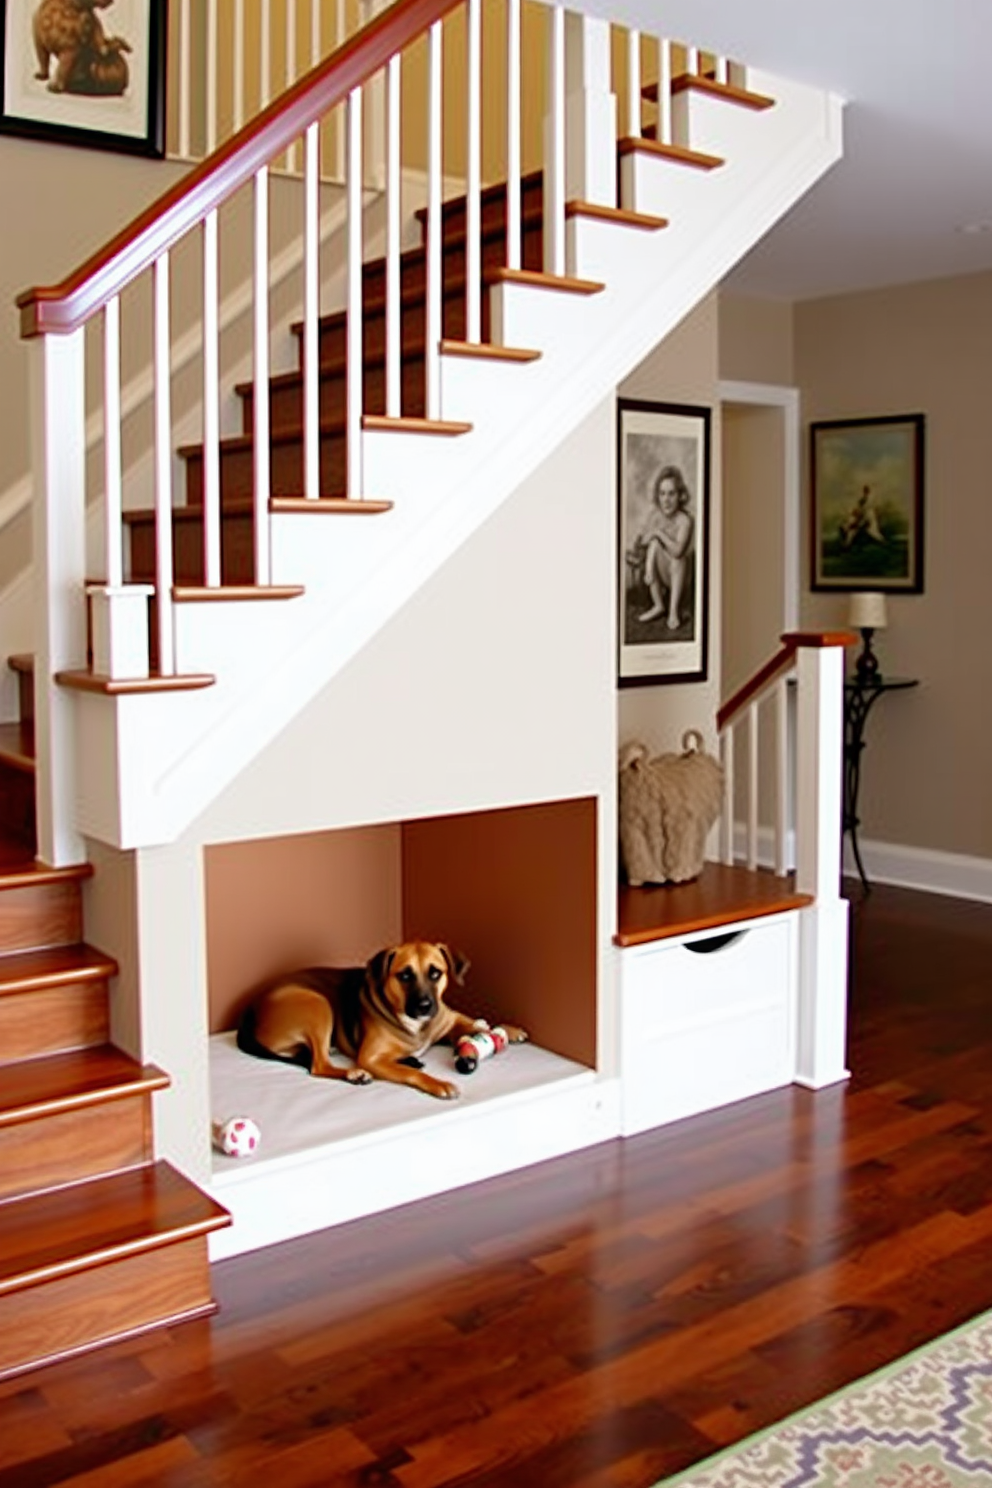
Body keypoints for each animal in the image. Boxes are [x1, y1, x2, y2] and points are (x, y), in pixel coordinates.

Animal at [236, 946, 526, 1101]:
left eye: (436, 973)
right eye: (404, 975)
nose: (424, 1006)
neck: (416, 1024)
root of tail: (252, 1008)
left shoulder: (450, 1019)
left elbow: (479, 1024)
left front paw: (507, 1030)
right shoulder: (371, 1058)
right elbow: (411, 1074)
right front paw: (437, 1083)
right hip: (317, 1004)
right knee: (318, 1064)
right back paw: (354, 1074)